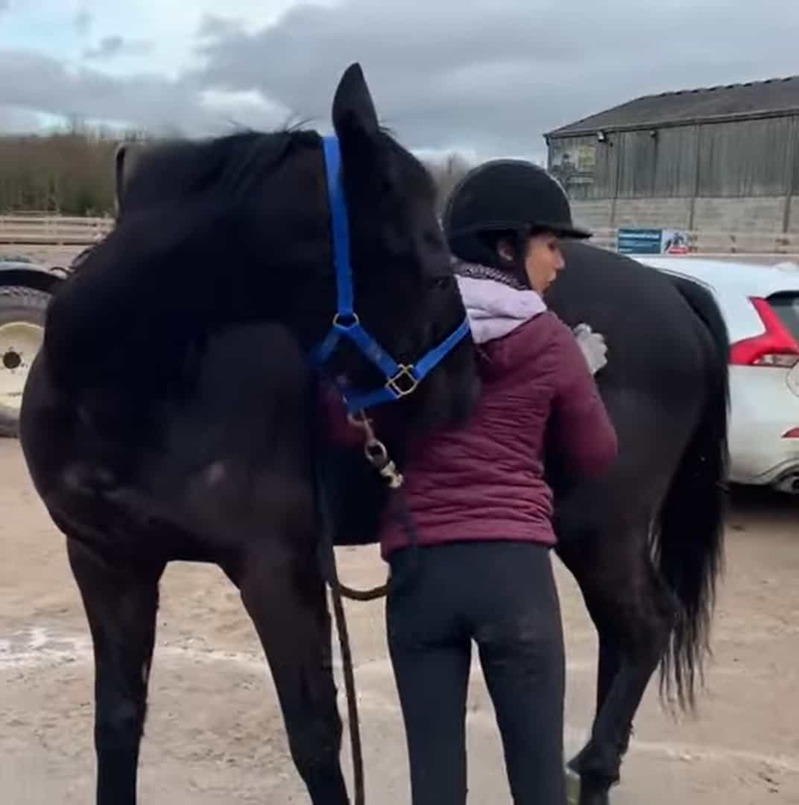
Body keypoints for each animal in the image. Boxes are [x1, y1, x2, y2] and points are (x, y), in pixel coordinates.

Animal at [17, 64, 482, 804]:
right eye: (439, 275)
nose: (465, 391)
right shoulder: (105, 561)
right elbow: (117, 722)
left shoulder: (277, 571)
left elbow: (316, 739)